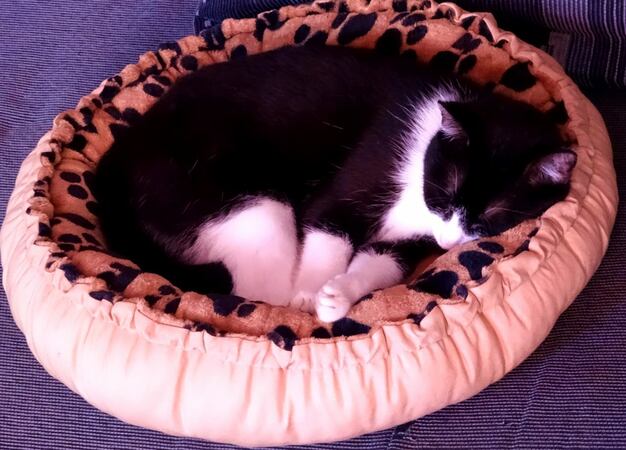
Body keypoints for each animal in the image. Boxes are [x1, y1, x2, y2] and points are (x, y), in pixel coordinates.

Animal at [94, 45, 576, 323]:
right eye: (446, 191)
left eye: (493, 215)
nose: (448, 242)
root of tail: (119, 155)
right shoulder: (347, 188)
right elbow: (329, 234)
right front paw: (311, 295)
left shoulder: (408, 243)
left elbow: (380, 263)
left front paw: (338, 295)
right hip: (254, 204)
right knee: (256, 289)